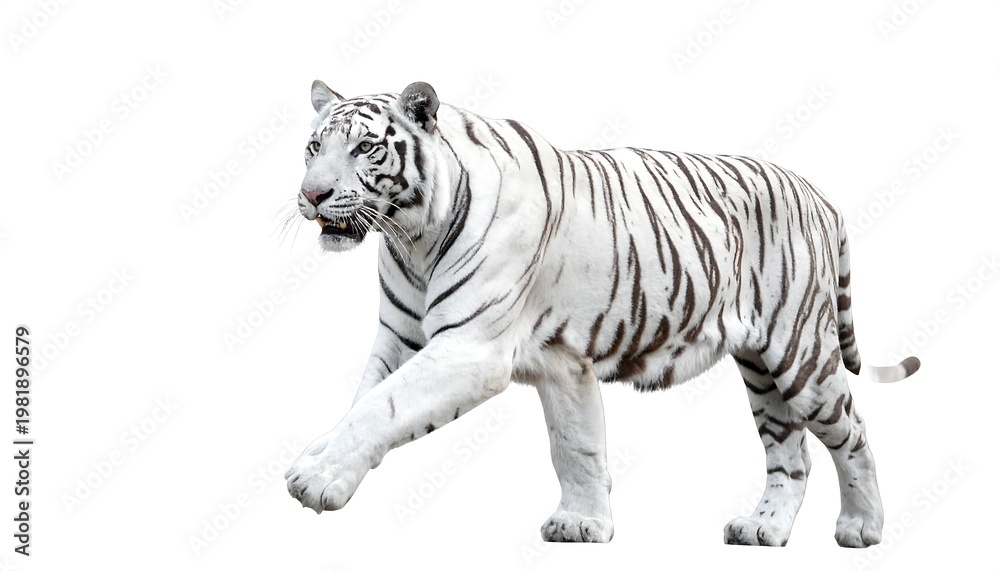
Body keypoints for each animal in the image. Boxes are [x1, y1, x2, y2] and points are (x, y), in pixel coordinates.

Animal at [283, 79, 920, 547]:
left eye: (364, 148)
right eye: (314, 148)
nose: (311, 195)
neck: (413, 238)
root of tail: (817, 193)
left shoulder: (469, 348)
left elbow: (381, 409)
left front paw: (317, 478)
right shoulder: (420, 342)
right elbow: (575, 444)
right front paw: (584, 523)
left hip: (801, 352)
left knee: (852, 432)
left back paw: (862, 528)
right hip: (761, 368)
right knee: (790, 452)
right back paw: (763, 530)